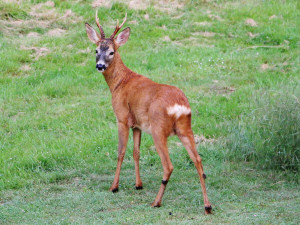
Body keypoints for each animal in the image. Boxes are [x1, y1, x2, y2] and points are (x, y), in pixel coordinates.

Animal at [85, 11, 212, 214]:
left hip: (159, 129)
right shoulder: (137, 124)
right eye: (96, 50)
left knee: (168, 166)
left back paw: (156, 202)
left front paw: (114, 187)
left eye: (112, 51)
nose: (100, 66)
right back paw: (207, 205)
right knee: (198, 161)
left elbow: (121, 151)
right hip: (186, 129)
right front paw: (138, 184)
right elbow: (136, 152)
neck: (120, 83)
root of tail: (180, 106)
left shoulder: (122, 117)